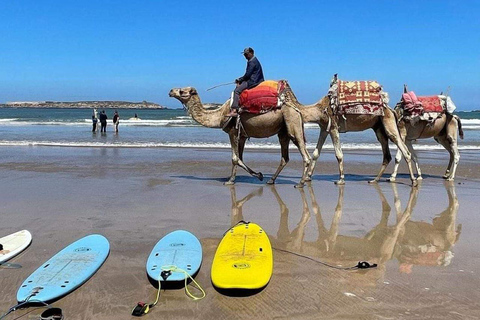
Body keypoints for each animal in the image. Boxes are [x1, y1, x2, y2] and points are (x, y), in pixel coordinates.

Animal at [169, 86, 312, 189]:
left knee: (305, 155)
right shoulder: (242, 135)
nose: (170, 91)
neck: (220, 115)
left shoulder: (232, 132)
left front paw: (230, 181)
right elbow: (240, 158)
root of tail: (297, 109)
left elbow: (234, 158)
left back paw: (300, 183)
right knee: (285, 157)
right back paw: (271, 181)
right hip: (283, 131)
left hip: (293, 123)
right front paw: (259, 175)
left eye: (182, 91)